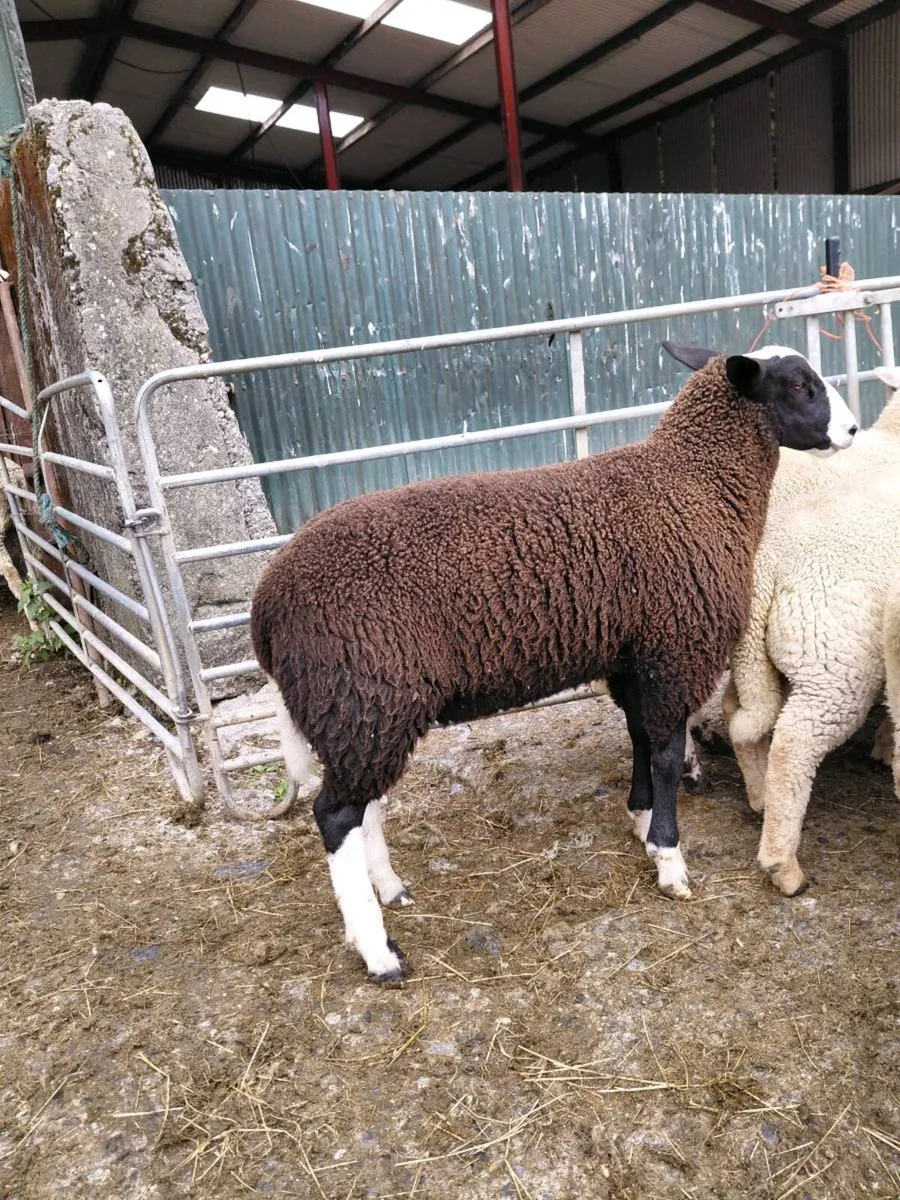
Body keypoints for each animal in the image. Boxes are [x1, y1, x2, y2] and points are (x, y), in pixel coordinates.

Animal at [250, 345, 857, 981]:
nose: (852, 430)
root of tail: (265, 607)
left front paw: (641, 822)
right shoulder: (673, 649)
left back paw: (389, 889)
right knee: (335, 814)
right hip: (365, 691)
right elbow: (666, 755)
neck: (695, 482)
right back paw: (379, 951)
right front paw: (669, 860)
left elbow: (639, 739)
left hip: (363, 708)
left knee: (363, 803)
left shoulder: (632, 655)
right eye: (800, 386)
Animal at [724, 365, 900, 896]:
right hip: (835, 668)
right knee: (793, 743)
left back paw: (758, 798)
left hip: (756, 659)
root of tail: (768, 571)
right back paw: (784, 866)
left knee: (742, 714)